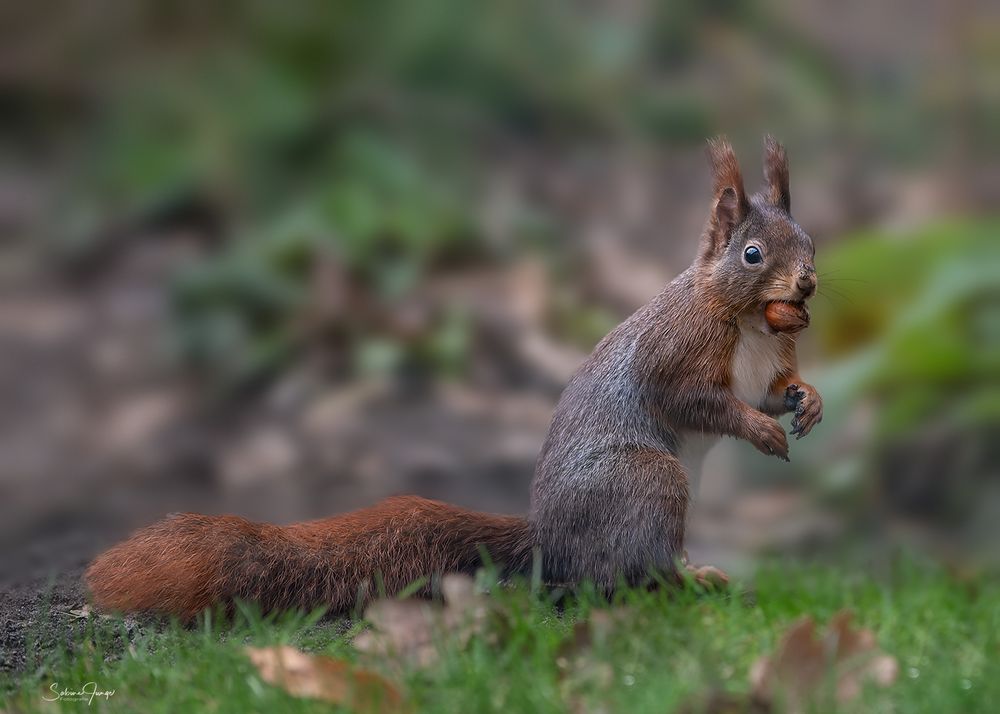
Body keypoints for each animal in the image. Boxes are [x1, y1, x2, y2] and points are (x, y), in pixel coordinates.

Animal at [86, 135, 820, 616]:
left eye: (811, 243)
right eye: (753, 254)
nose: (809, 283)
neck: (751, 321)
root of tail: (549, 543)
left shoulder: (763, 363)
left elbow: (770, 390)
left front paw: (804, 401)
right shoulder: (676, 352)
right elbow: (693, 399)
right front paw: (759, 430)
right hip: (646, 480)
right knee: (621, 577)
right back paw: (686, 583)